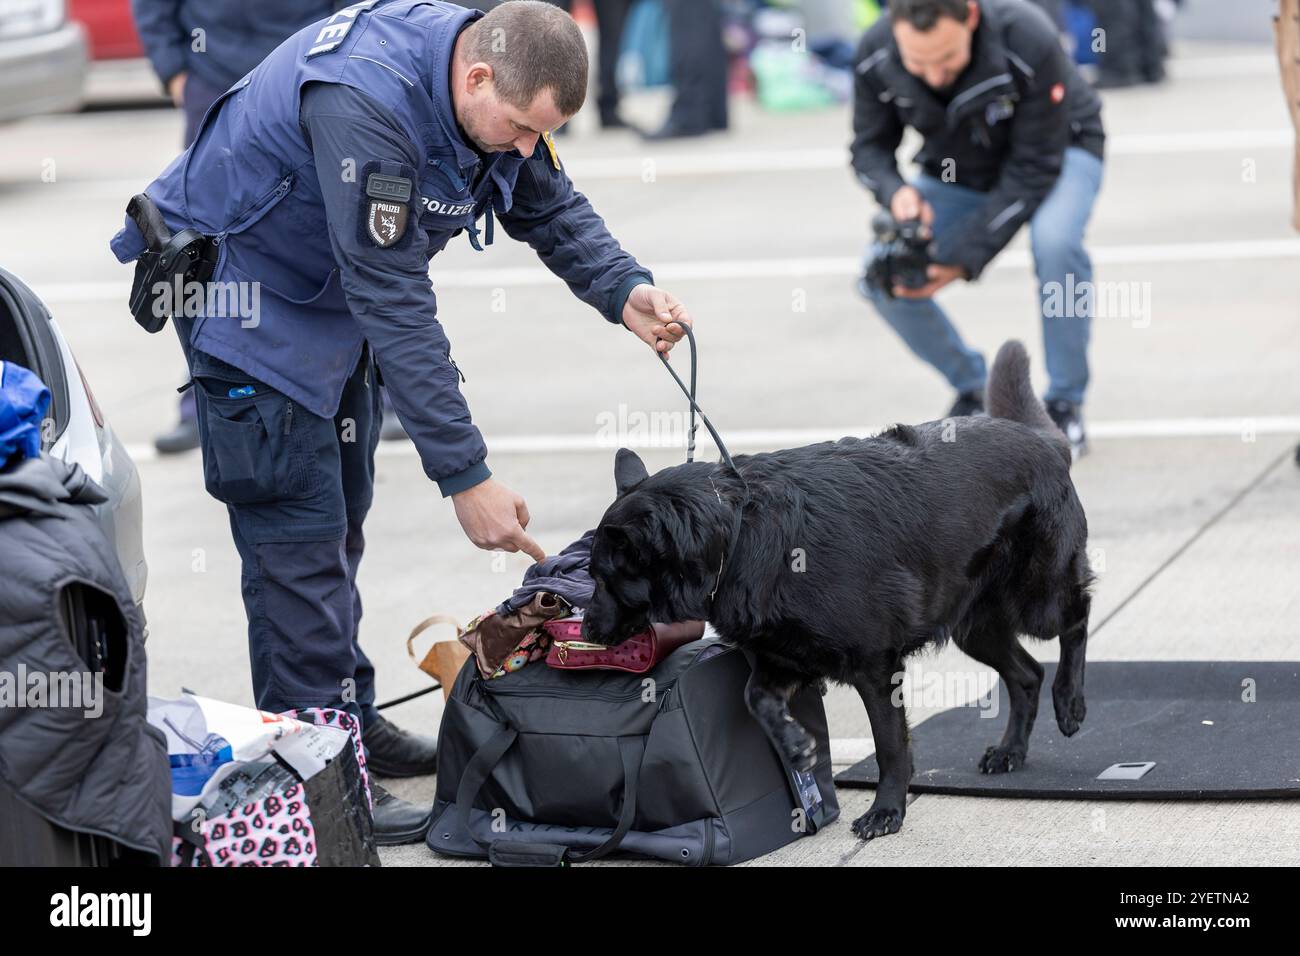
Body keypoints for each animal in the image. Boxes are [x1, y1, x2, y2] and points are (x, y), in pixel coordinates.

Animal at [587, 340, 1097, 842]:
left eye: (601, 578)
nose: (586, 628)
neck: (734, 536)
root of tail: (1040, 439)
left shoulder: (876, 668)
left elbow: (889, 746)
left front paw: (887, 811)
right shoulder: (785, 658)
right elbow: (756, 698)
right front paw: (796, 746)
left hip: (1038, 595)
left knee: (1077, 616)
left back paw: (1070, 701)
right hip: (973, 625)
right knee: (1027, 674)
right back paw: (1011, 750)